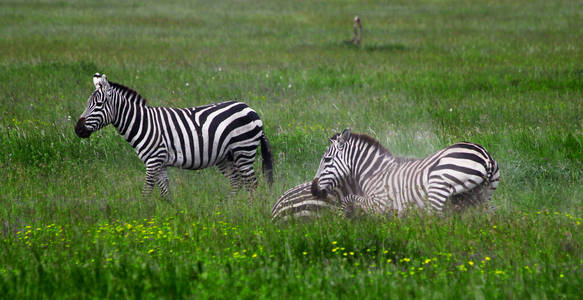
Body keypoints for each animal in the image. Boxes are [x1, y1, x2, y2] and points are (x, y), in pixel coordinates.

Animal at [74, 72, 274, 199]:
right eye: (87, 103)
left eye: (98, 104)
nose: (77, 129)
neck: (143, 123)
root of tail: (251, 109)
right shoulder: (160, 163)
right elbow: (165, 193)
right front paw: (170, 216)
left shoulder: (153, 160)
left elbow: (146, 192)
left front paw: (144, 216)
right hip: (226, 156)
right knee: (236, 182)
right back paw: (230, 207)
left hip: (243, 150)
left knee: (251, 184)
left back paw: (249, 210)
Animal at [312, 128, 500, 216]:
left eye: (327, 160)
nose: (313, 190)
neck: (374, 172)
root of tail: (486, 157)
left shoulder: (380, 202)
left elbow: (349, 198)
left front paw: (346, 216)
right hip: (484, 195)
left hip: (437, 187)